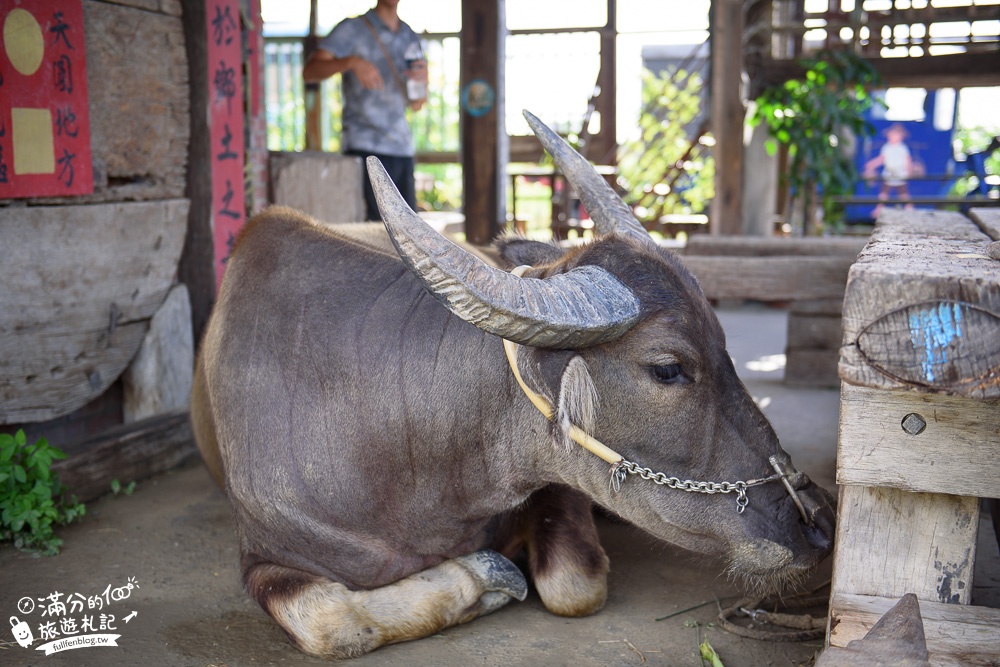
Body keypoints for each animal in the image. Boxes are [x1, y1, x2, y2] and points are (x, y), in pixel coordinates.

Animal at [189, 112, 836, 660]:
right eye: (668, 368)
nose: (818, 520)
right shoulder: (264, 553)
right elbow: (326, 620)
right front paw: (487, 576)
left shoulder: (559, 487)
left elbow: (573, 586)